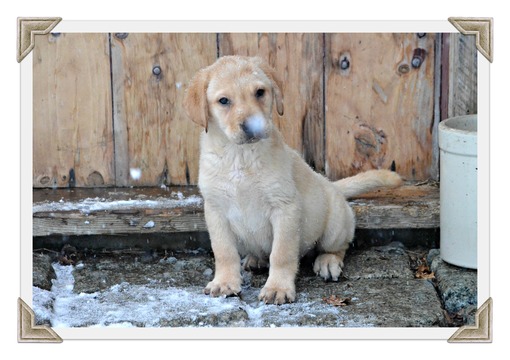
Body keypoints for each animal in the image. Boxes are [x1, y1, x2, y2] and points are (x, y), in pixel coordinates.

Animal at [184, 56, 402, 304]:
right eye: (223, 101)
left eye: (260, 92)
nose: (252, 126)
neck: (240, 156)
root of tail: (329, 184)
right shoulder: (216, 211)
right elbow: (224, 252)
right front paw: (225, 282)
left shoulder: (285, 207)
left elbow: (282, 253)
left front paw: (277, 287)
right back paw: (255, 259)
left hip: (335, 225)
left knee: (339, 246)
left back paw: (328, 262)